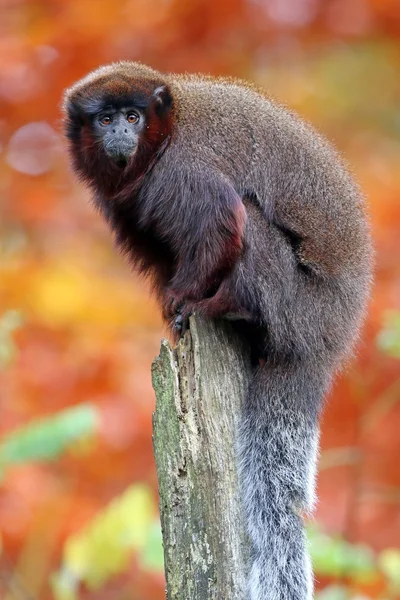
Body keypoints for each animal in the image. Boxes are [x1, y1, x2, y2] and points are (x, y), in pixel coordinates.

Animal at [62, 62, 372, 600]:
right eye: (105, 119)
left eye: (132, 116)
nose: (121, 134)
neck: (162, 139)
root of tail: (328, 342)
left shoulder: (184, 168)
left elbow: (221, 224)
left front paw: (187, 301)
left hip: (296, 305)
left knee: (249, 224)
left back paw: (228, 307)